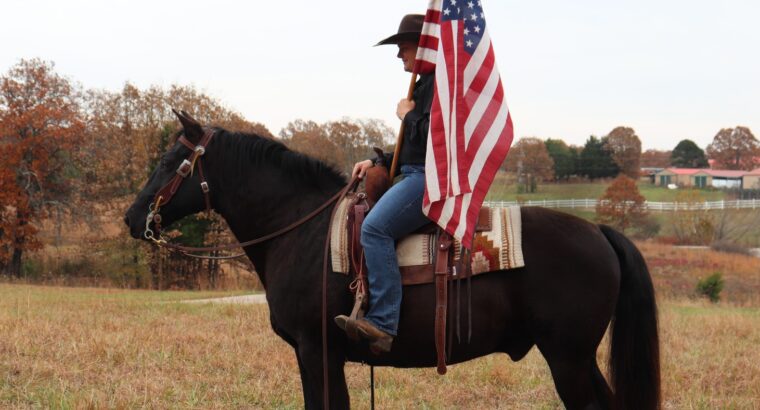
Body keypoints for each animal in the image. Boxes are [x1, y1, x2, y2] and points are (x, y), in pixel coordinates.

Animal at [124, 112, 660, 410]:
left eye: (171, 162)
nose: (133, 216)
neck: (301, 228)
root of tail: (598, 231)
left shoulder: (318, 352)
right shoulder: (312, 355)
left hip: (568, 358)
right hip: (578, 358)